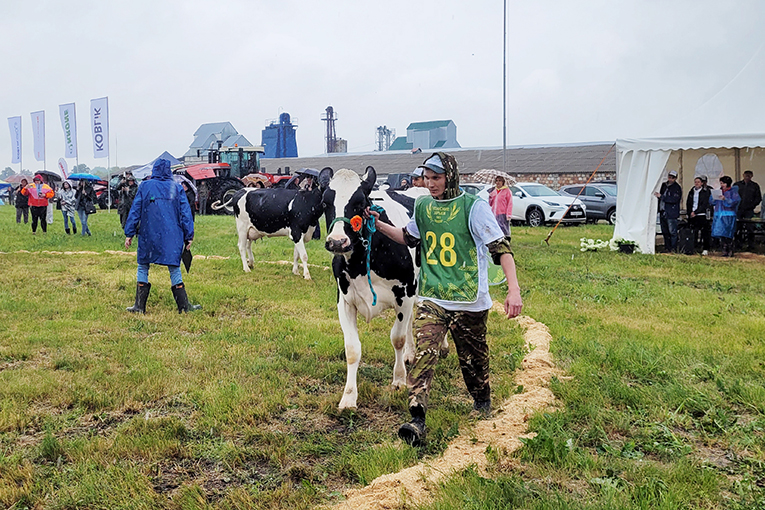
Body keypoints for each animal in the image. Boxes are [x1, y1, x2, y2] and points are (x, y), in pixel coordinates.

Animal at [322, 167, 430, 410]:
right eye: (325, 202)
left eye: (361, 203)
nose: (337, 241)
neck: (360, 264)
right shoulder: (344, 300)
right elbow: (352, 349)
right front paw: (349, 397)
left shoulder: (405, 294)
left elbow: (397, 338)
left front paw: (399, 380)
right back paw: (411, 354)